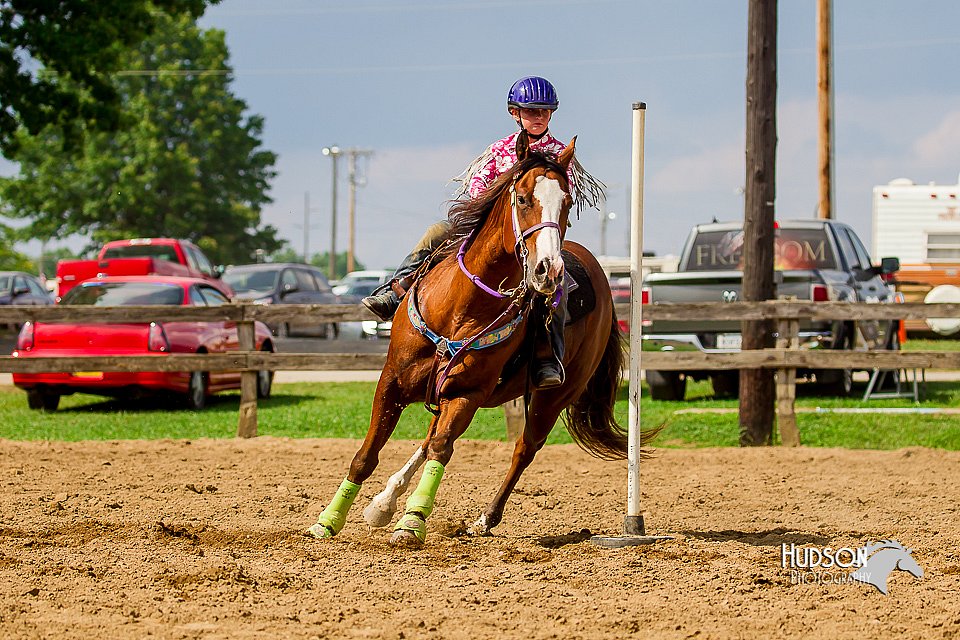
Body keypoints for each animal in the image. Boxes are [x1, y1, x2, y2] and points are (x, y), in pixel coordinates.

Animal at [312, 135, 656, 544]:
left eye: (567, 202)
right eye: (522, 198)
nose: (549, 270)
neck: (460, 306)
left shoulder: (468, 393)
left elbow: (442, 449)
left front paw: (413, 521)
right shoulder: (392, 383)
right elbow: (367, 456)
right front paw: (328, 520)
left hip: (555, 396)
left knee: (523, 449)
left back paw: (485, 518)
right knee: (430, 438)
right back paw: (384, 502)